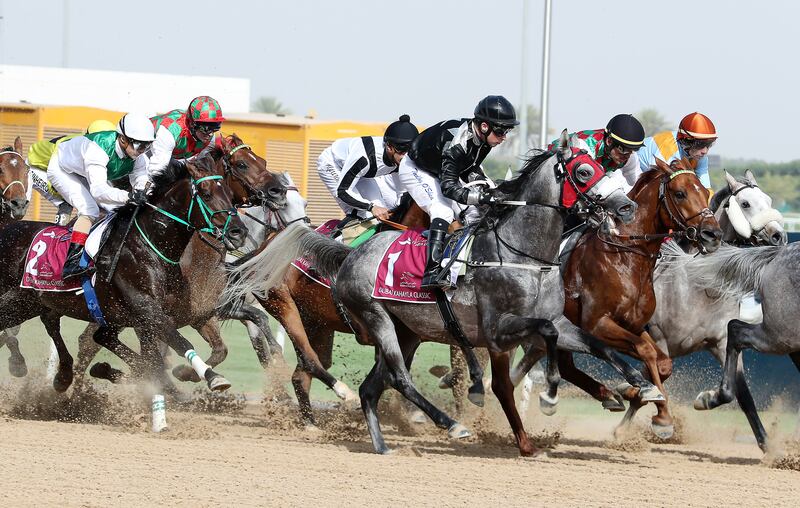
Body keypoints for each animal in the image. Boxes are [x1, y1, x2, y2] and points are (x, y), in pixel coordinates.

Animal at [0, 155, 247, 392]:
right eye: (206, 193)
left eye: (228, 193)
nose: (239, 232)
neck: (149, 245)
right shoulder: (147, 307)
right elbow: (178, 343)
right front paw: (213, 378)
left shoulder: (158, 315)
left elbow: (151, 357)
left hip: (31, 303)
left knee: (59, 325)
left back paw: (63, 375)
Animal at [223, 132, 664, 456]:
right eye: (585, 171)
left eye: (606, 167)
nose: (625, 208)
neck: (524, 253)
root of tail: (350, 254)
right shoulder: (499, 329)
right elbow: (546, 339)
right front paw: (551, 393)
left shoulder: (555, 319)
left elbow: (591, 341)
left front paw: (641, 387)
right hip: (371, 319)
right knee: (397, 378)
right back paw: (451, 426)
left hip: (397, 331)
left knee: (365, 385)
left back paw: (379, 443)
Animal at [560, 159, 720, 436]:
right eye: (680, 193)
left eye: (704, 192)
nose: (713, 235)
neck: (624, 256)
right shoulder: (597, 324)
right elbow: (646, 352)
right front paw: (661, 416)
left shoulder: (634, 326)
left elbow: (662, 363)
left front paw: (639, 395)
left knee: (565, 367)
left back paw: (608, 396)